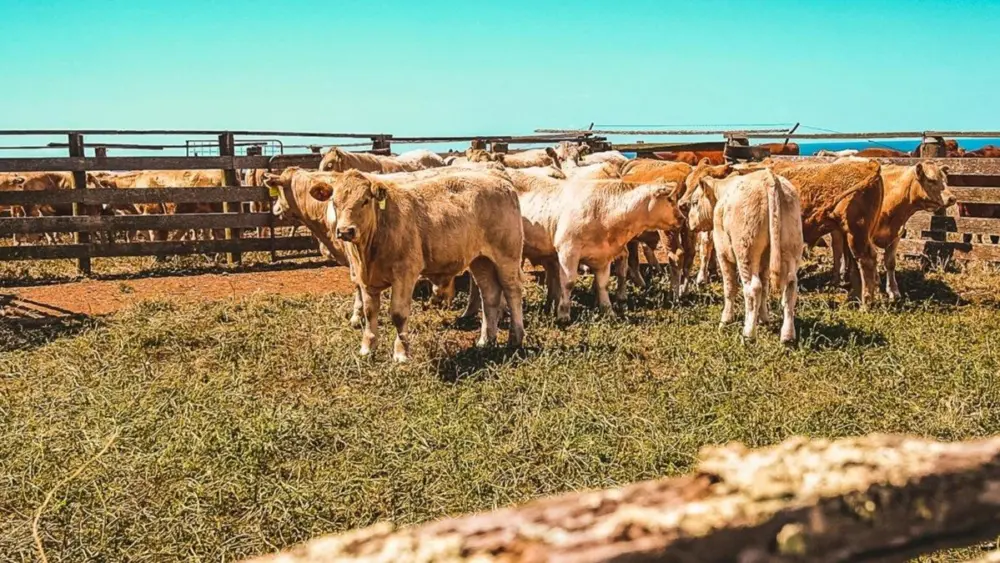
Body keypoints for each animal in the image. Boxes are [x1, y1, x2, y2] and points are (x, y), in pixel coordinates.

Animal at [308, 169, 526, 361]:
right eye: (334, 202)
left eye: (365, 201)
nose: (345, 231)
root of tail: (501, 181)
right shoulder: (366, 281)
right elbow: (370, 313)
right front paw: (367, 349)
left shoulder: (404, 274)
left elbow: (398, 314)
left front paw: (401, 353)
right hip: (481, 261)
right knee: (489, 295)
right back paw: (485, 340)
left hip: (507, 256)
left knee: (512, 291)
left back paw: (516, 337)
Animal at [687, 168, 804, 342]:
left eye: (695, 202)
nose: (690, 222)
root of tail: (768, 178)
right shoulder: (764, 262)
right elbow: (765, 287)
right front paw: (763, 318)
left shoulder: (723, 253)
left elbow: (730, 287)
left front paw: (726, 320)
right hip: (790, 247)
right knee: (789, 286)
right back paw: (787, 335)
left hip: (745, 251)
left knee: (753, 288)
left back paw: (749, 333)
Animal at [765, 159, 884, 305]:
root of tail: (869, 165)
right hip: (853, 234)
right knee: (855, 265)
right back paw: (854, 299)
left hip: (856, 234)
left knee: (866, 261)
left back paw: (865, 303)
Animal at [830, 161, 956, 300]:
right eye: (931, 180)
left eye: (946, 180)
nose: (952, 198)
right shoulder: (867, 236)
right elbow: (873, 259)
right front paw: (876, 282)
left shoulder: (896, 235)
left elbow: (890, 263)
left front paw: (893, 290)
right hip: (837, 232)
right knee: (837, 250)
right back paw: (838, 277)